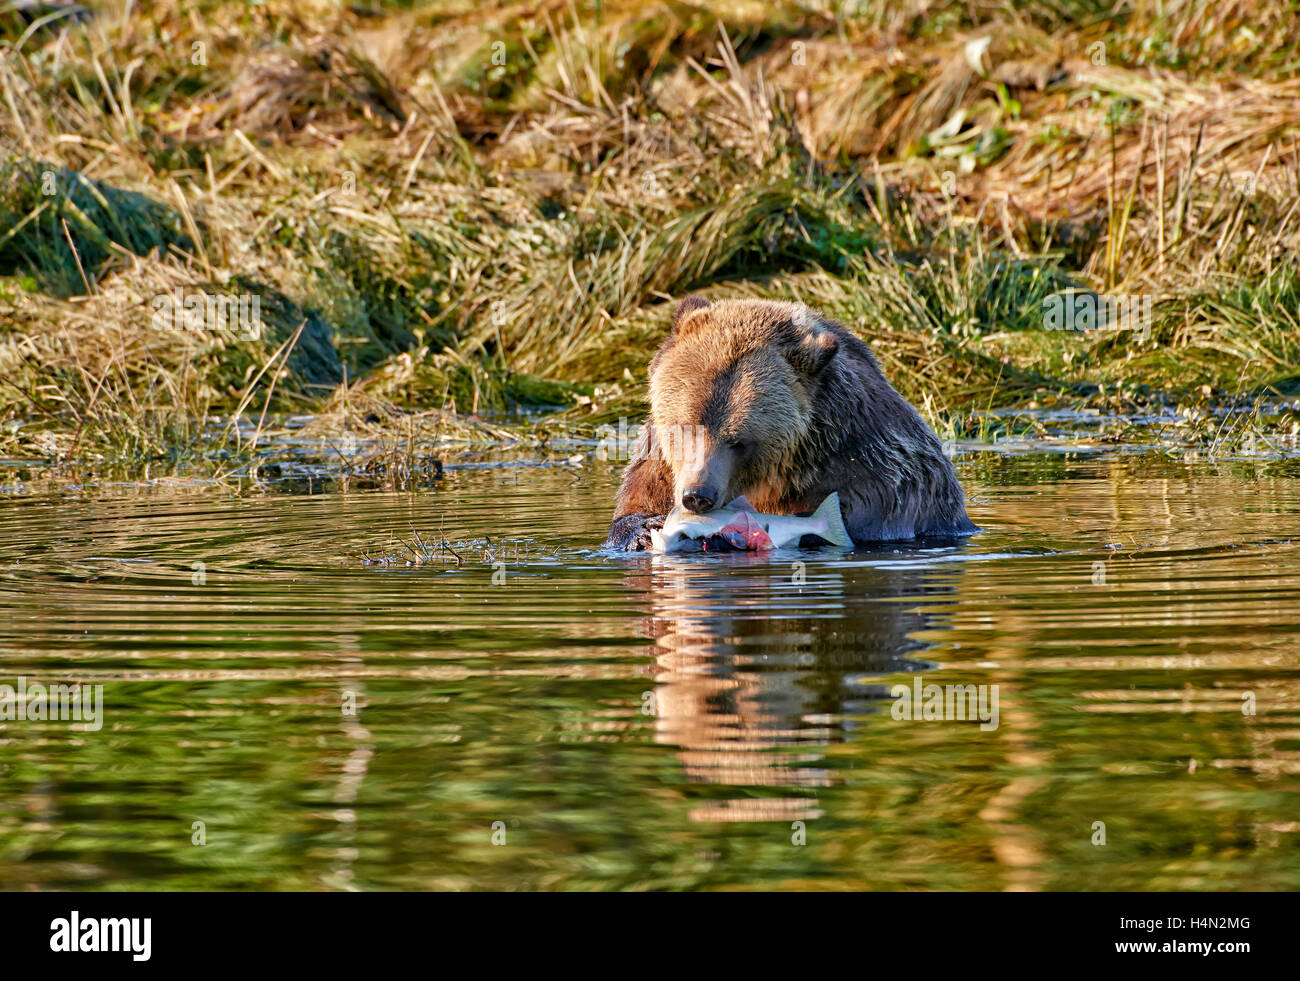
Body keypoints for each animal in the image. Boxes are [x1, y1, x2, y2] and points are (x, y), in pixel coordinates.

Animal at [605, 291, 977, 553]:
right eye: (686, 428)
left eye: (739, 440)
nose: (698, 495)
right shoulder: (659, 464)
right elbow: (637, 501)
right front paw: (641, 530)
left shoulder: (873, 470)